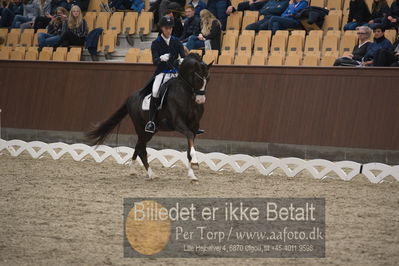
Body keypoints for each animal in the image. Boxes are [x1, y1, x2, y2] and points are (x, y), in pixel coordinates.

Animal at [86, 53, 212, 183]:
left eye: (208, 79)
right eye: (198, 79)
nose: (200, 100)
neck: (186, 95)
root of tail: (131, 97)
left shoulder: (194, 126)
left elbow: (189, 149)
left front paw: (192, 175)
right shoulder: (178, 123)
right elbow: (189, 137)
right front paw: (195, 164)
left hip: (150, 132)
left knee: (139, 146)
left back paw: (133, 170)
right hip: (140, 127)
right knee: (142, 149)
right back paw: (151, 174)